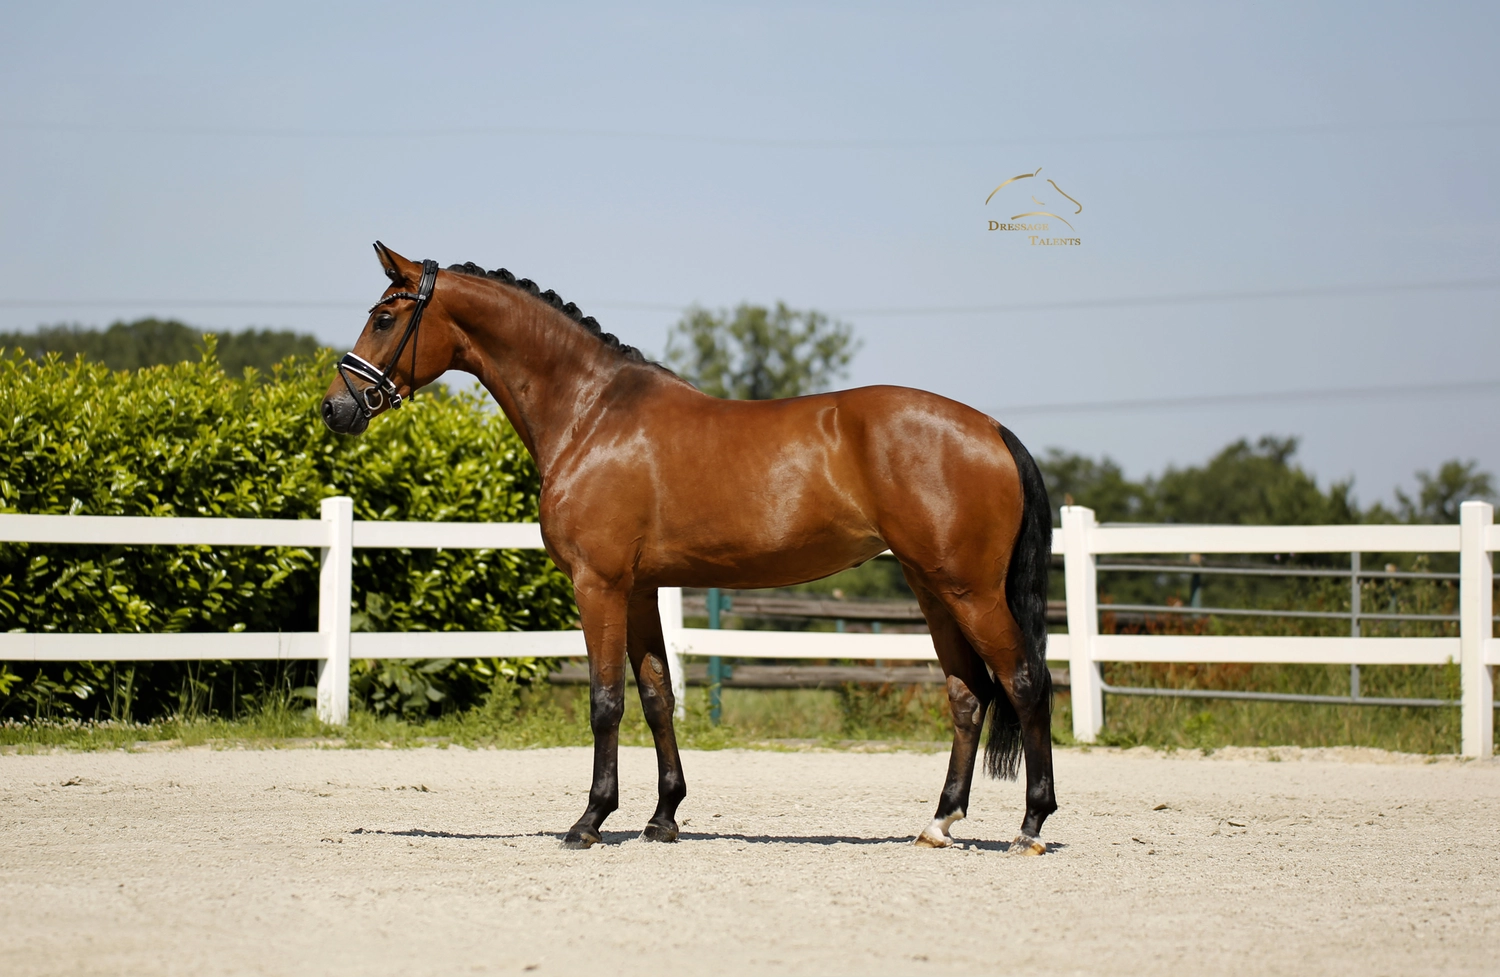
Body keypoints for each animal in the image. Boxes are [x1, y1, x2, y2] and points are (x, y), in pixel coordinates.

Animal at [322, 242, 1057, 854]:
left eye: (384, 318)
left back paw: (1030, 825)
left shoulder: (599, 583)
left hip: (969, 590)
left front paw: (589, 820)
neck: (591, 413)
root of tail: (992, 429)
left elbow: (606, 700)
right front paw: (663, 817)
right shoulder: (640, 588)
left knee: (1025, 681)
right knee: (967, 695)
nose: (336, 408)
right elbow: (656, 696)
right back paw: (939, 822)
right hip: (933, 588)